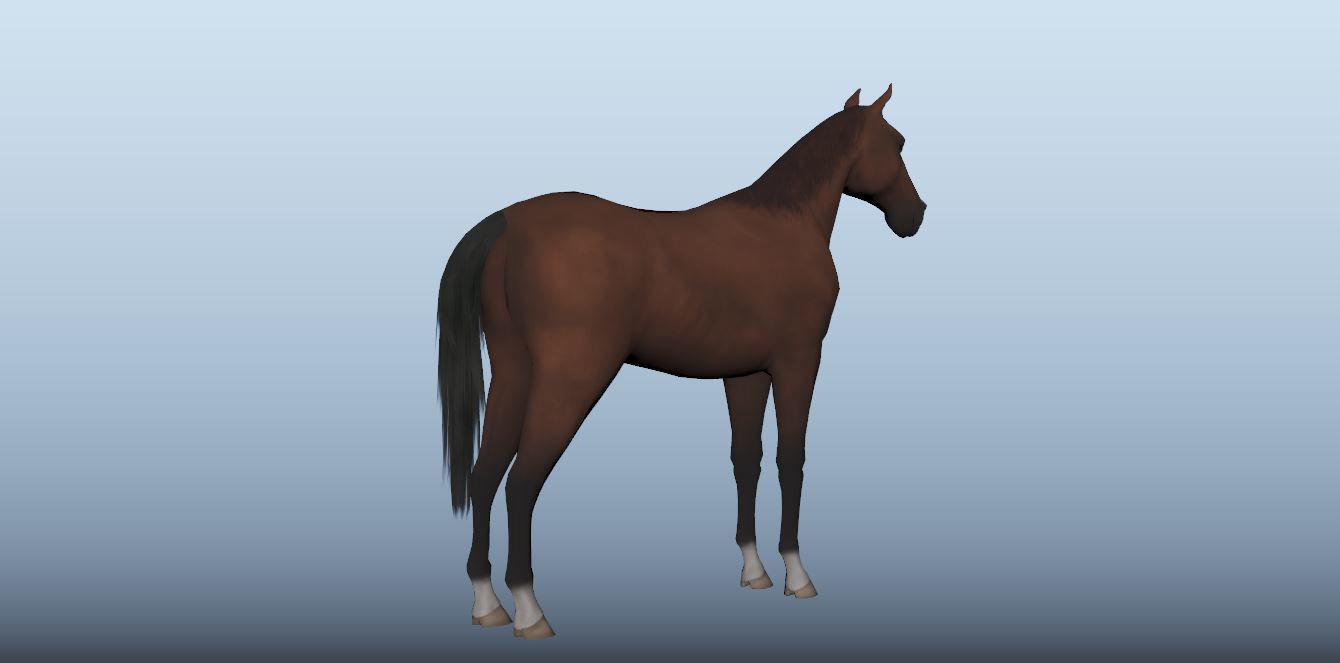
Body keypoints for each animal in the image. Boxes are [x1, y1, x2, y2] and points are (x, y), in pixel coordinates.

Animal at [438, 85, 926, 639]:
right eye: (898, 142)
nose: (915, 214)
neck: (785, 223)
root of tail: (505, 225)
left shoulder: (746, 374)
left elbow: (746, 460)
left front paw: (754, 570)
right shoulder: (798, 362)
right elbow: (791, 460)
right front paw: (797, 574)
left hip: (515, 374)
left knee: (483, 476)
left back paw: (487, 605)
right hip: (570, 380)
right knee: (521, 484)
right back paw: (528, 611)